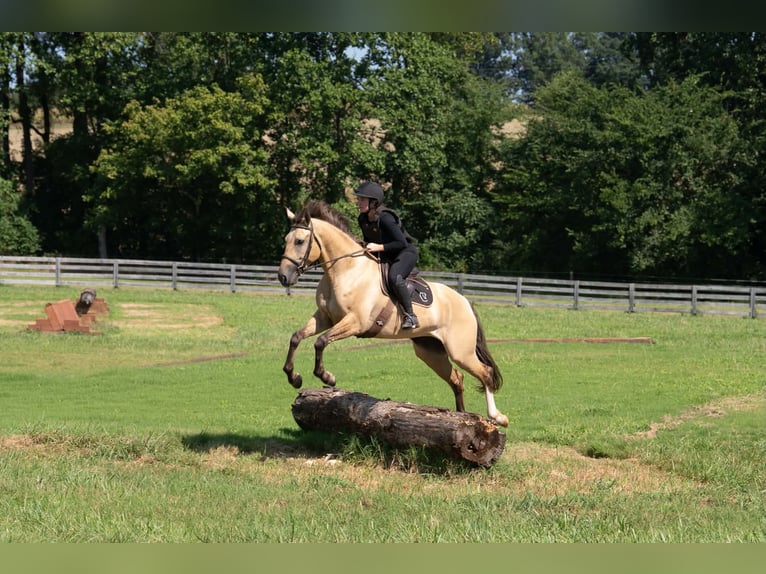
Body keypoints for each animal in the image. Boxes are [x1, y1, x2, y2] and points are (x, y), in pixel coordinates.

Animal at [277, 200, 509, 427]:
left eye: (299, 241)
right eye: (286, 239)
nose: (283, 277)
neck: (346, 270)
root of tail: (465, 301)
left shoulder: (355, 322)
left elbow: (321, 342)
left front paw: (327, 377)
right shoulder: (325, 317)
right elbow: (296, 337)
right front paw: (294, 377)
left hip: (460, 351)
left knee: (485, 373)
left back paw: (498, 417)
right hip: (430, 351)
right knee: (457, 378)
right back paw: (461, 416)